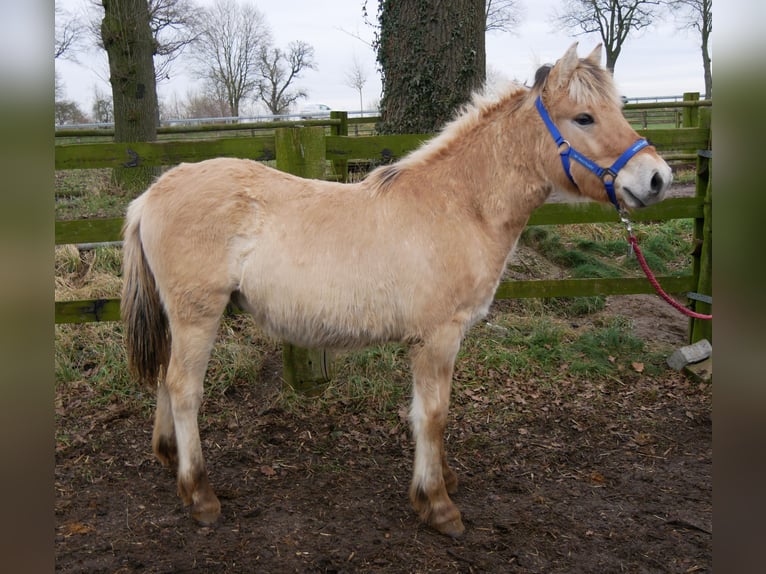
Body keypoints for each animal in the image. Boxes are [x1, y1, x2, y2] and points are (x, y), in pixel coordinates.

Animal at [120, 45, 672, 540]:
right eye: (584, 117)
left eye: (618, 108)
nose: (658, 178)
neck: (459, 204)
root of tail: (152, 194)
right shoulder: (438, 338)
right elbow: (433, 416)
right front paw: (437, 505)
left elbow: (428, 413)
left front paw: (443, 480)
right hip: (198, 315)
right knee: (184, 389)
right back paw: (200, 494)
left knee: (166, 379)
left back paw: (169, 459)